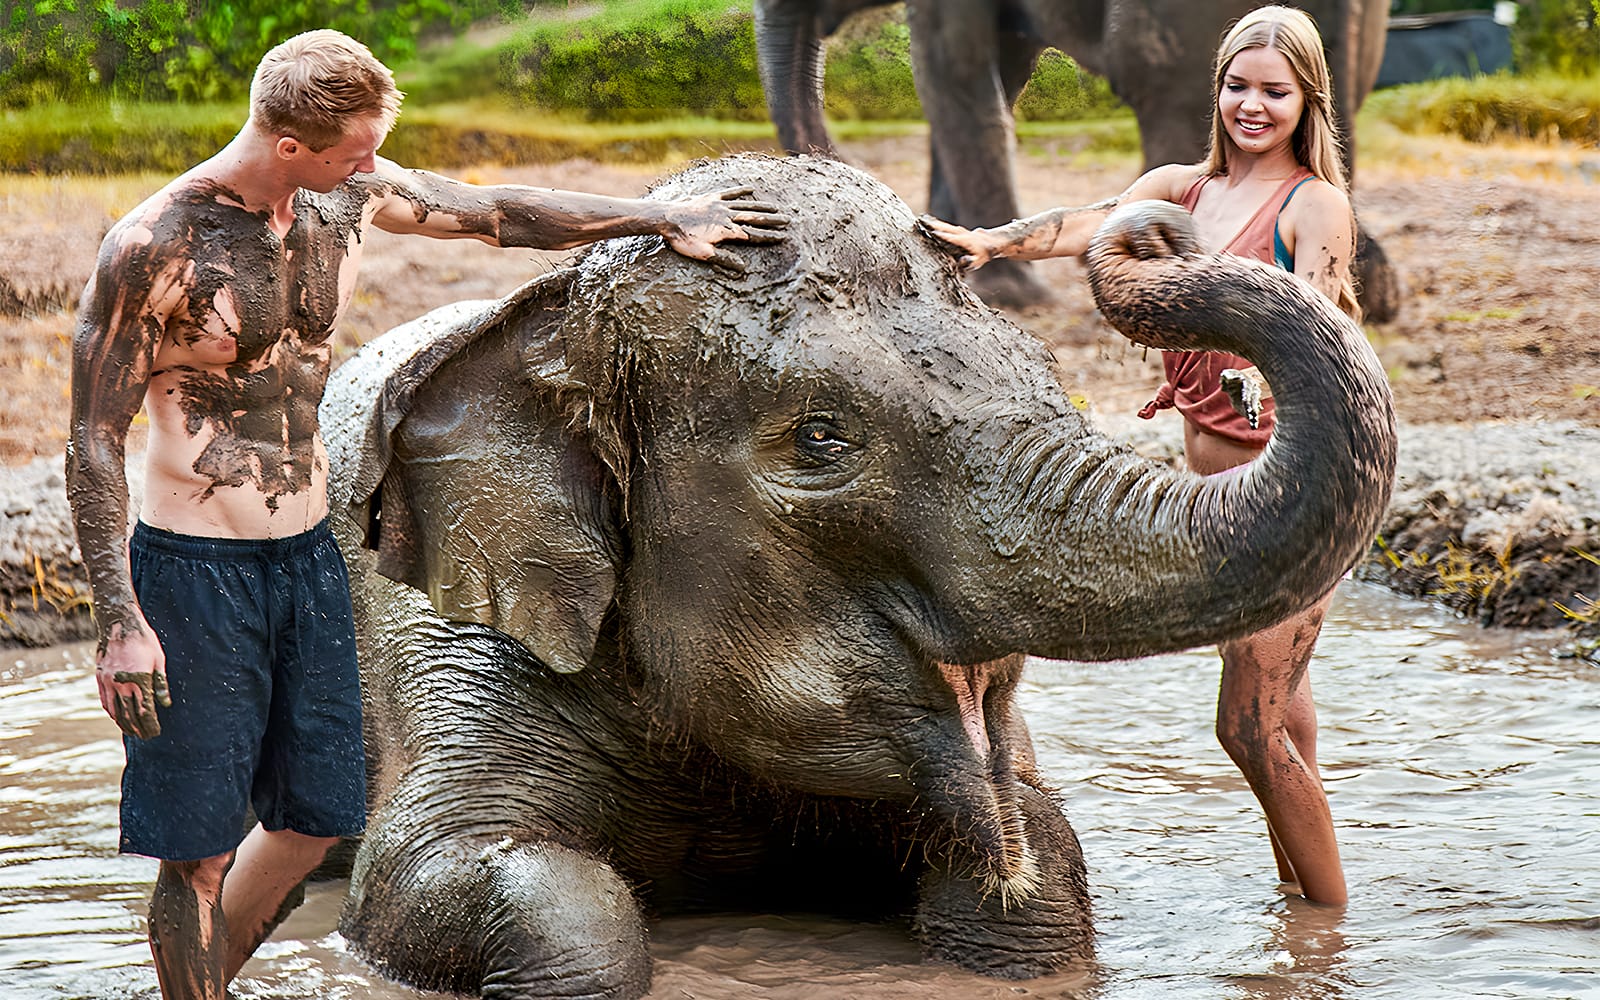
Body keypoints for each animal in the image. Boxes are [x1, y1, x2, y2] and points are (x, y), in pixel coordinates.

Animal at [317, 153, 1396, 999]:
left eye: (1042, 372)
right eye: (821, 438)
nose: (1156, 226)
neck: (539, 314)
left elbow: (1039, 860)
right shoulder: (447, 639)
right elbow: (422, 877)